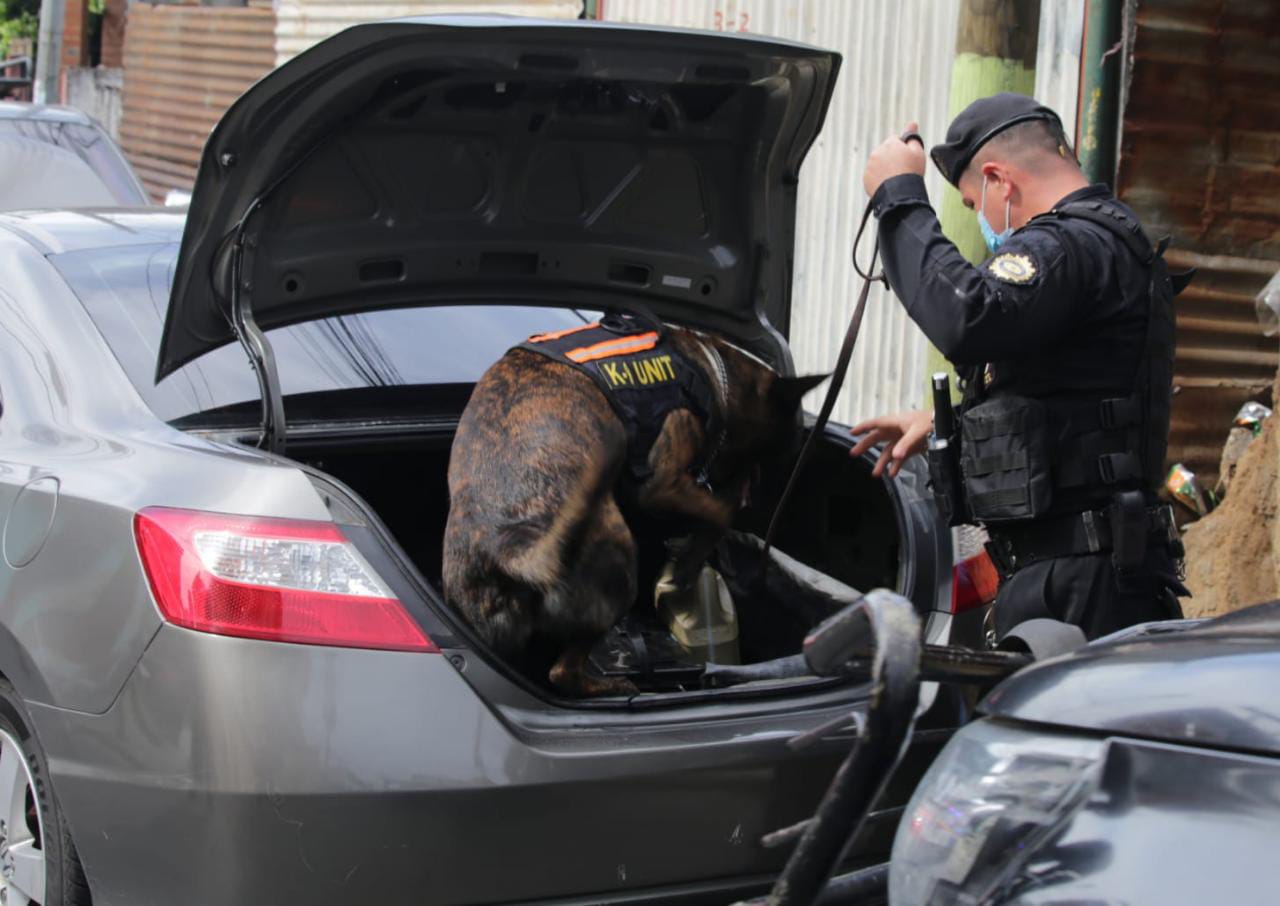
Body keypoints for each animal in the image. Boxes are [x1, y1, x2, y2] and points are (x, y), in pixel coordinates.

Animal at [442, 325, 819, 701]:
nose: (797, 449)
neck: (714, 372)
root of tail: (514, 553)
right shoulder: (661, 486)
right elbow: (719, 516)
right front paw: (688, 564)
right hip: (620, 568)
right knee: (564, 672)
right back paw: (614, 684)